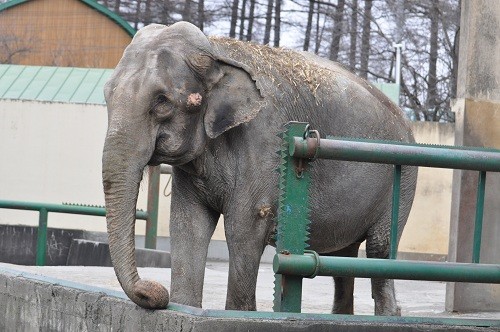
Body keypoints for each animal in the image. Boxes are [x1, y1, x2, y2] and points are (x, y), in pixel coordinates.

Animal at [101, 22, 418, 316]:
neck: (217, 51)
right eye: (106, 95)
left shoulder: (263, 140)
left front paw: (236, 315)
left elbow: (243, 227)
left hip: (402, 181)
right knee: (344, 259)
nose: (154, 291)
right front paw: (182, 307)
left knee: (379, 249)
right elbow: (187, 225)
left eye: (162, 101)